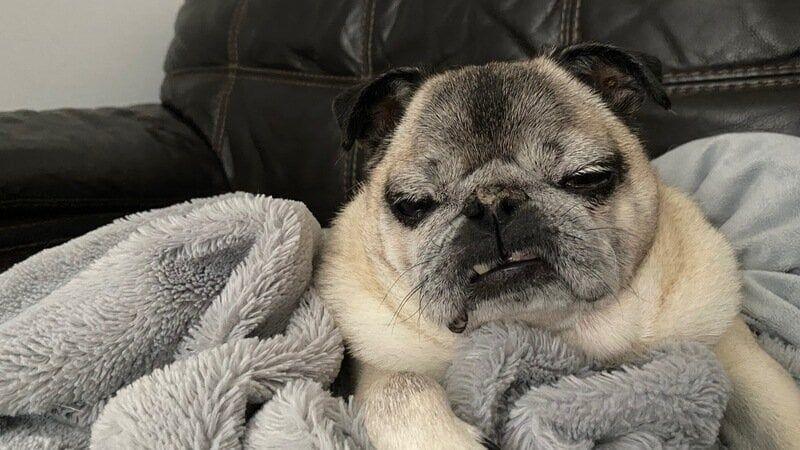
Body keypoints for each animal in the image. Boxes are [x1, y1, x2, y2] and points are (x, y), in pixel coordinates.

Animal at [314, 43, 800, 450]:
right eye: (414, 204)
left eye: (587, 177)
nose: (494, 202)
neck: (558, 330)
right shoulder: (375, 364)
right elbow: (401, 388)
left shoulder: (728, 347)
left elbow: (776, 409)